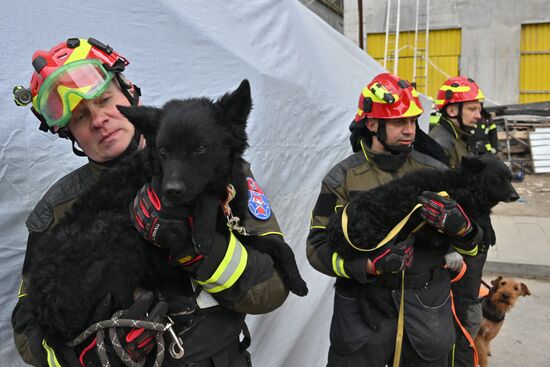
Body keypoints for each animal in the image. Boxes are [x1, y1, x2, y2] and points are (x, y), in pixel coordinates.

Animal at [25, 80, 308, 342]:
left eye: (200, 148)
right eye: (164, 149)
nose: (171, 191)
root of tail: (44, 313)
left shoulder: (232, 233)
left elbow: (277, 244)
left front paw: (297, 280)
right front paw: (203, 226)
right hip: (114, 229)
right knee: (121, 308)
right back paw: (174, 309)